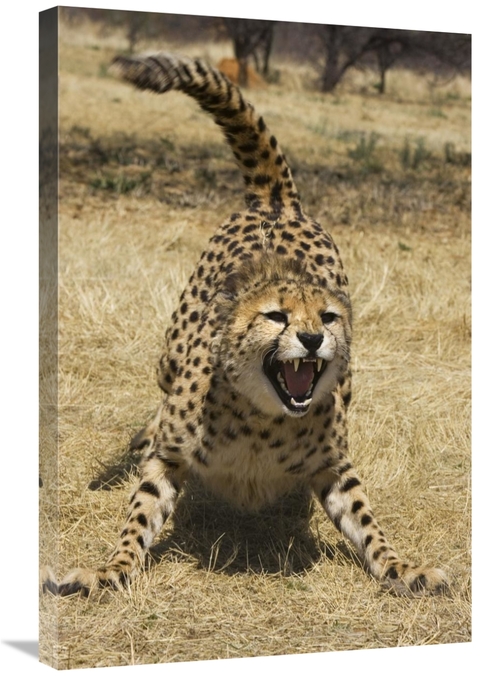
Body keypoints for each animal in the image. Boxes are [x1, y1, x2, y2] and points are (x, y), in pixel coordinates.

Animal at [42, 53, 448, 598]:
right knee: (158, 402)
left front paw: (404, 569)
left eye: (327, 317)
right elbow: (139, 515)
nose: (312, 339)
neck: (262, 419)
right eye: (276, 315)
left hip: (347, 383)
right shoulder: (169, 458)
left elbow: (368, 522)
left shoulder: (334, 466)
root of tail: (277, 202)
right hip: (168, 356)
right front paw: (111, 569)